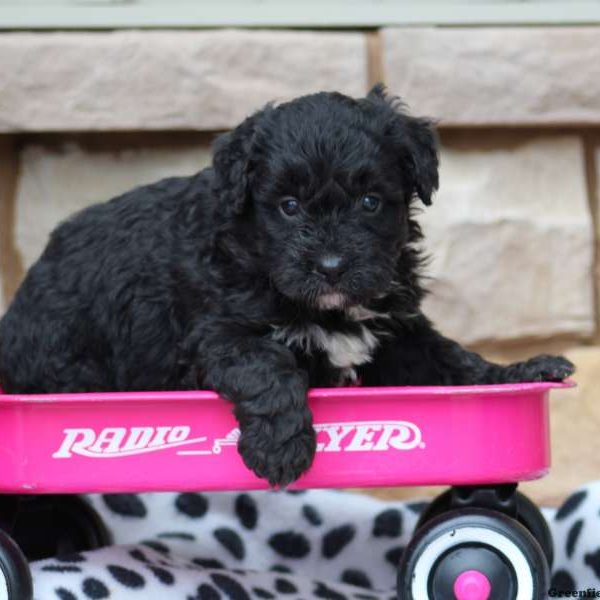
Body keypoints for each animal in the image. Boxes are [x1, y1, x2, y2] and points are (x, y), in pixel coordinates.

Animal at [0, 86, 572, 486]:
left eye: (370, 202)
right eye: (289, 206)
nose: (332, 265)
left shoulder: (397, 334)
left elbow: (454, 361)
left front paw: (521, 370)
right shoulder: (219, 332)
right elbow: (267, 367)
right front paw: (282, 448)